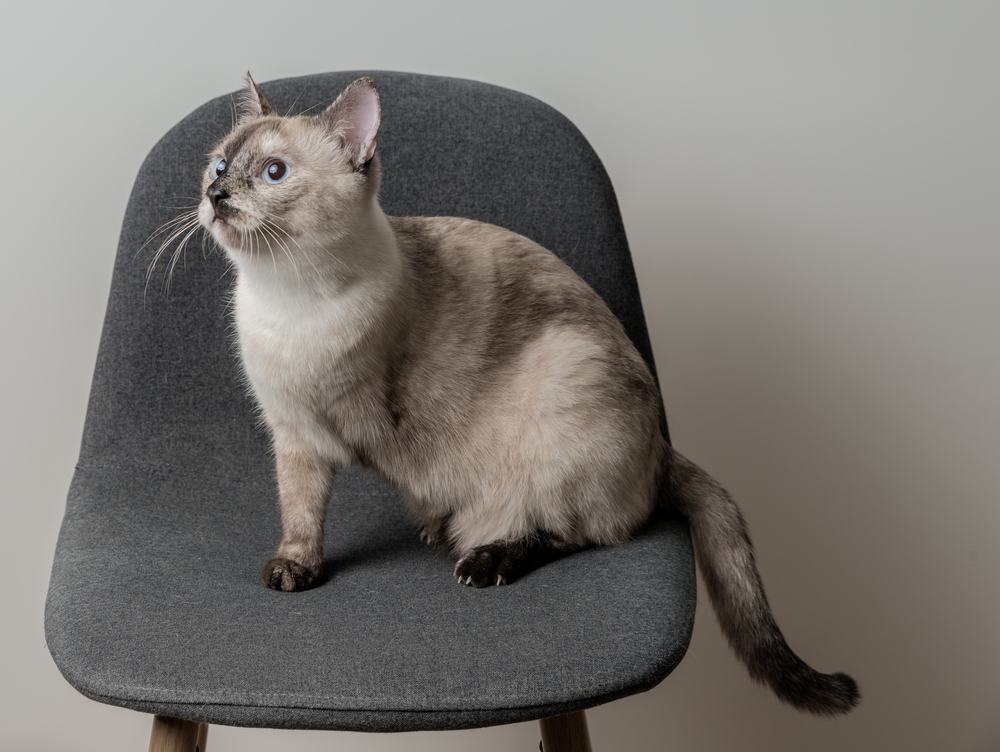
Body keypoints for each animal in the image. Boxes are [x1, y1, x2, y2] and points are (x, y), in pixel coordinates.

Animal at [193, 73, 860, 712]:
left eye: (274, 173)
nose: (216, 196)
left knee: (572, 530)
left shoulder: (349, 422)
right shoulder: (293, 436)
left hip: (561, 395)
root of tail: (663, 448)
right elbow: (300, 515)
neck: (283, 298)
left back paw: (481, 559)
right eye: (220, 166)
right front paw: (295, 569)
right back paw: (438, 528)